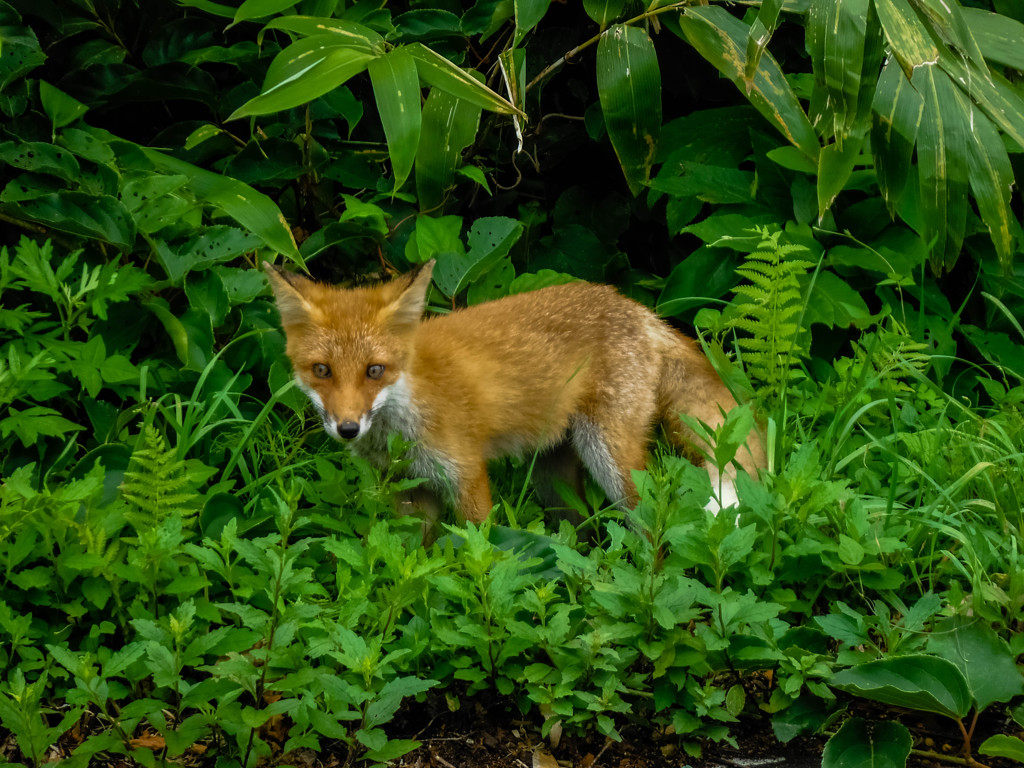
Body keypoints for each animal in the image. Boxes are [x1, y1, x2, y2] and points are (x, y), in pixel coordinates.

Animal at [264, 262, 761, 528]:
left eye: (374, 371)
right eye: (322, 371)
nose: (348, 429)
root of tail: (639, 309)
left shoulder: (466, 476)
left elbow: (477, 551)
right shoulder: (407, 490)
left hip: (611, 461)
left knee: (653, 524)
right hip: (553, 477)